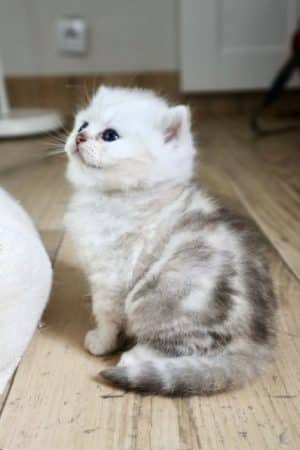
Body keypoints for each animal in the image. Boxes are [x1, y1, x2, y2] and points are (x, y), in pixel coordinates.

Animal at [64, 86, 278, 396]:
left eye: (110, 135)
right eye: (83, 125)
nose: (79, 137)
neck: (122, 195)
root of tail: (257, 340)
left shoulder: (112, 274)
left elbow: (106, 315)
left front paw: (102, 341)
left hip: (164, 294)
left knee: (189, 346)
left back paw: (136, 357)